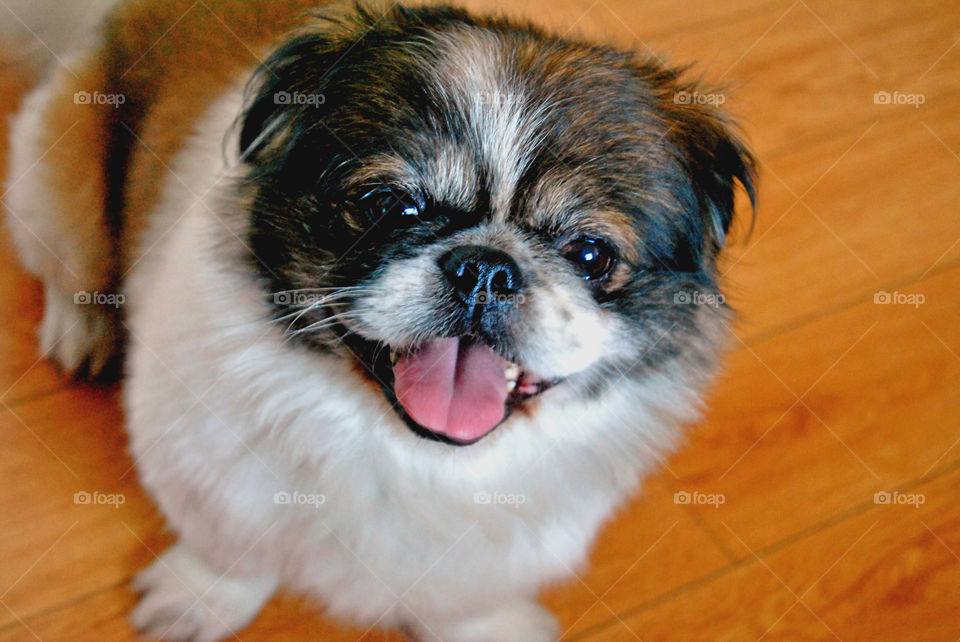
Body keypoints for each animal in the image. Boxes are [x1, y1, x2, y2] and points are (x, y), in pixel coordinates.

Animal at [1, 1, 752, 636]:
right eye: (390, 206)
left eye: (591, 255)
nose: (486, 266)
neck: (408, 455)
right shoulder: (211, 477)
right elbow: (232, 555)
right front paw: (198, 602)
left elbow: (465, 599)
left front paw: (489, 629)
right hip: (55, 174)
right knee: (69, 268)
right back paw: (83, 330)